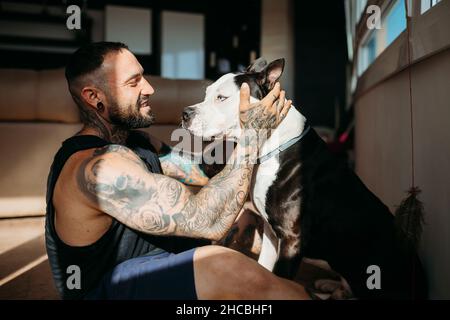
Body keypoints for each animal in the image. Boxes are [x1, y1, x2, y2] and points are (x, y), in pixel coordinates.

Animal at [180, 58, 426, 300]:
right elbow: (265, 271)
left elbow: (279, 279)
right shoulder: (272, 233)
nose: (185, 113)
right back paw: (333, 287)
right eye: (207, 93)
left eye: (222, 98)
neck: (274, 144)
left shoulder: (292, 239)